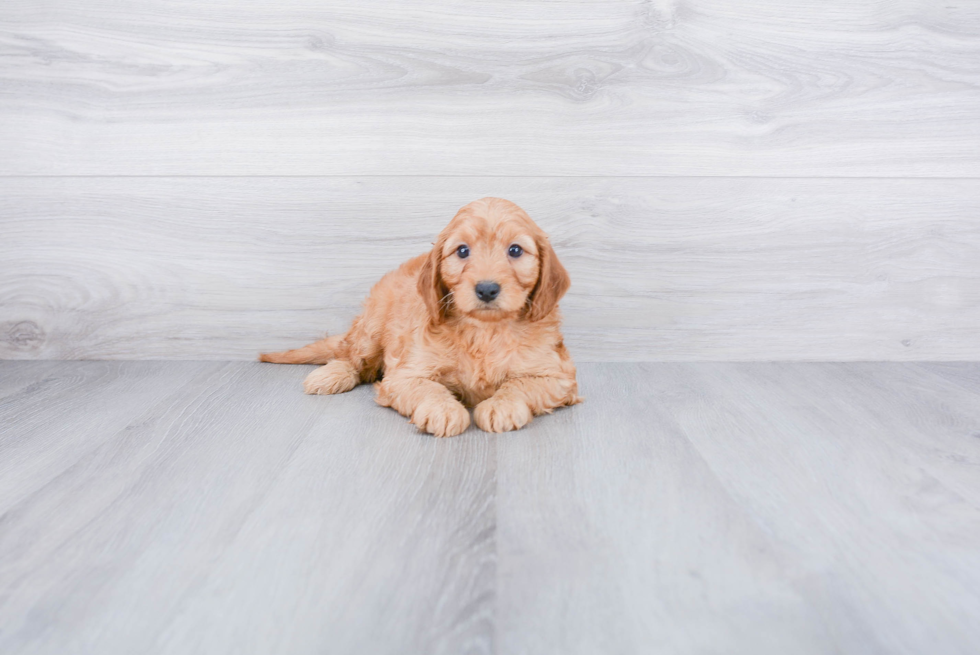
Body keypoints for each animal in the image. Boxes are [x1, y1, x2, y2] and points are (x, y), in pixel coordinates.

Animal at [258, 197, 580, 438]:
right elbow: (428, 387)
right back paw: (330, 375)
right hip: (371, 327)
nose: (487, 289)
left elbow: (520, 384)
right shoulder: (405, 373)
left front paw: (501, 406)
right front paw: (444, 410)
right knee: (351, 357)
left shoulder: (558, 376)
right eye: (462, 251)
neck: (484, 331)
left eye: (515, 250)